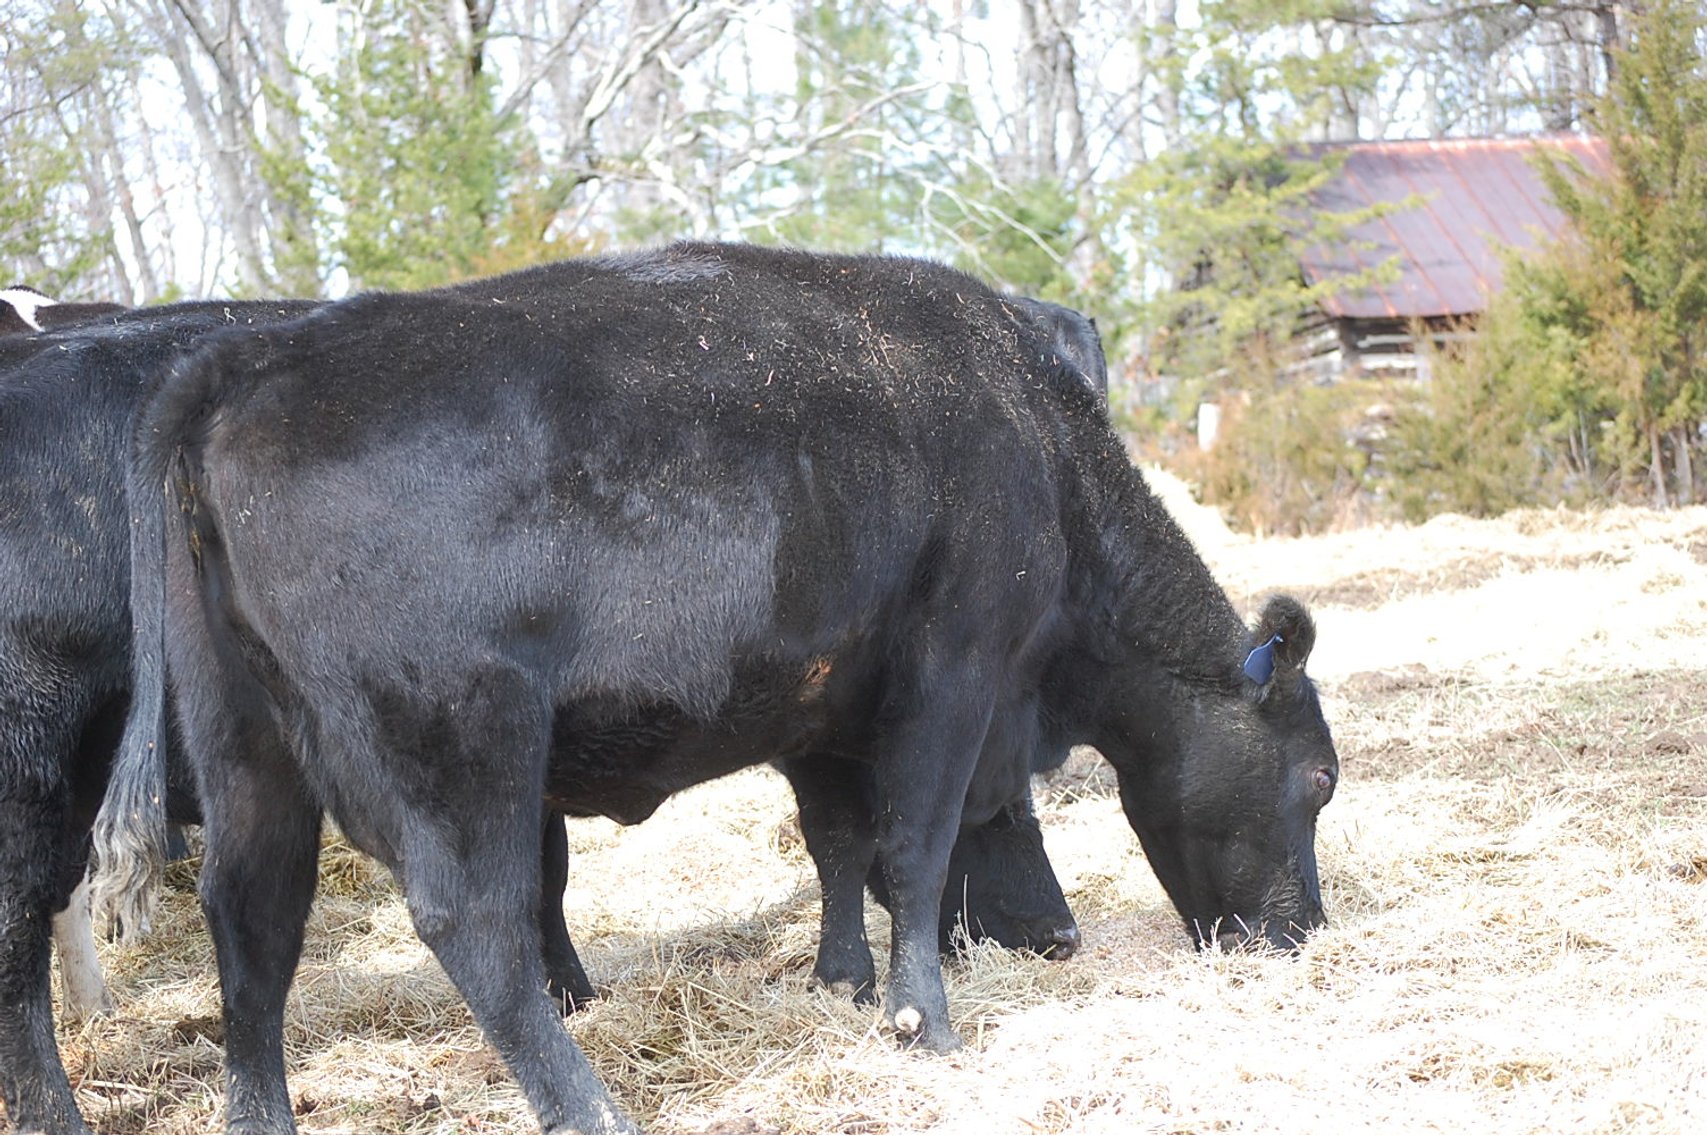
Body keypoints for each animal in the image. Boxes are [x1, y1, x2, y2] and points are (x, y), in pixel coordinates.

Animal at [98, 242, 1337, 1135]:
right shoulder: (951, 673)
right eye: (1321, 777)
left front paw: (843, 983)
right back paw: (592, 1108)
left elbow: (840, 843)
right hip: (458, 740)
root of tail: (243, 364)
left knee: (253, 924)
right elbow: (913, 850)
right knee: (479, 925)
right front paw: (923, 1020)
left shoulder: (824, 709)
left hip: (251, 751)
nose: (1305, 933)